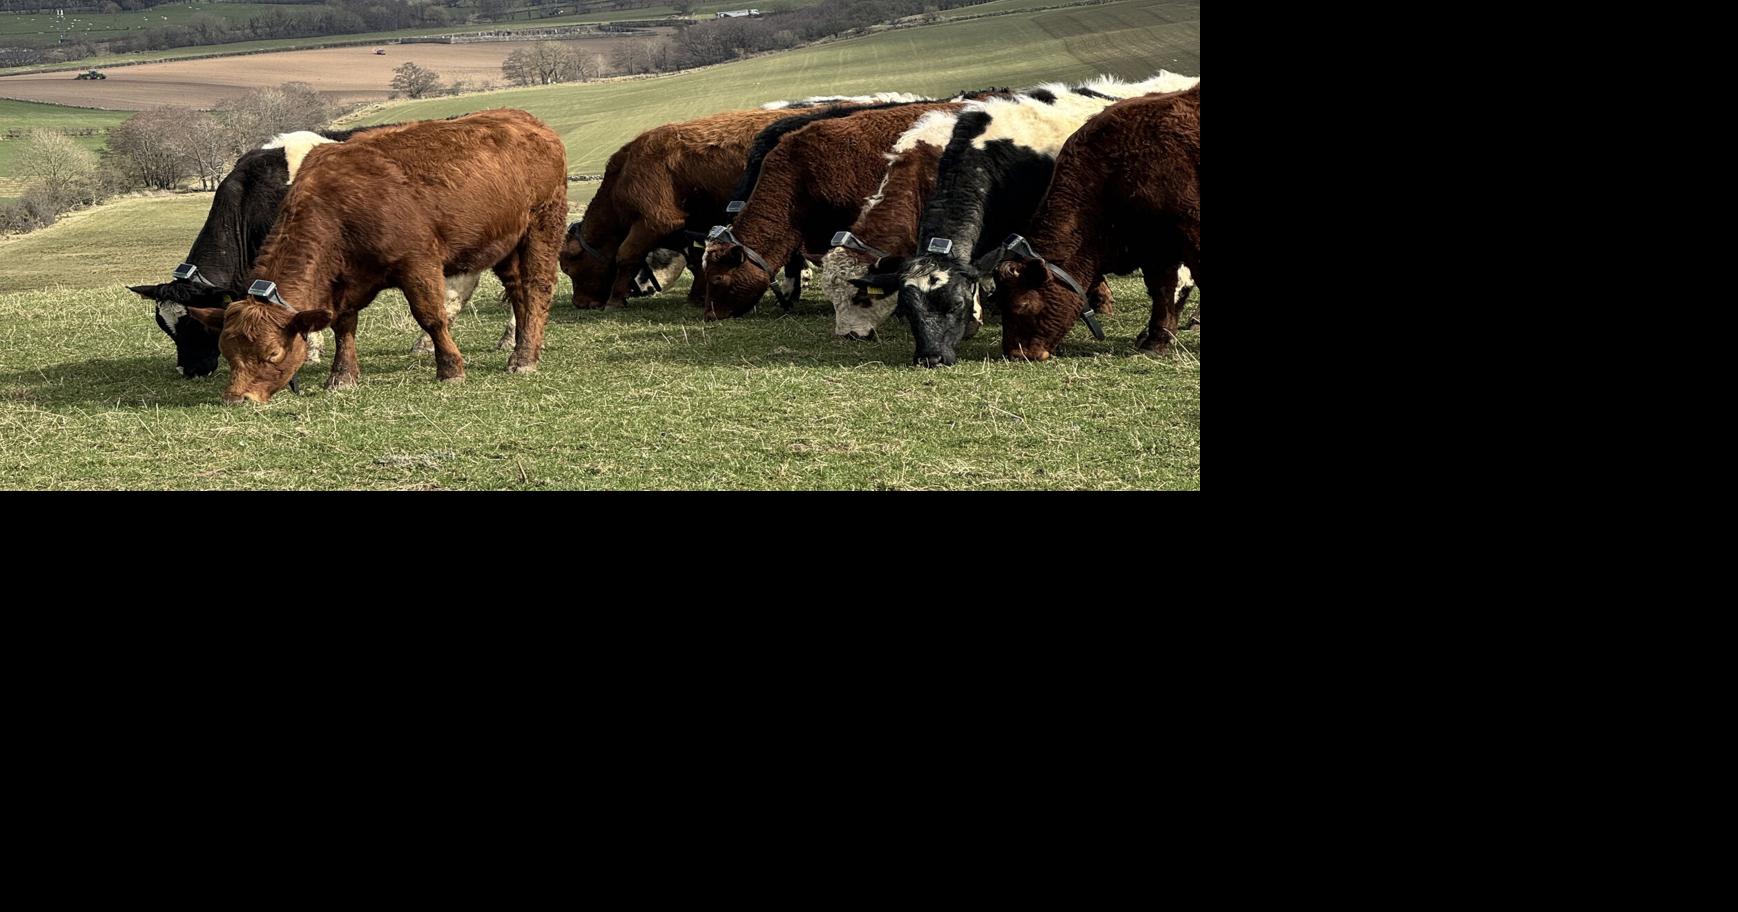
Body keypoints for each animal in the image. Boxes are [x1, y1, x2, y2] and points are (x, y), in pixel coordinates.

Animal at [186, 109, 568, 403]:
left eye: (273, 354)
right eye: (229, 351)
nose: (237, 398)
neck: (339, 206)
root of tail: (526, 120)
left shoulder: (419, 264)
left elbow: (431, 316)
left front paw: (450, 368)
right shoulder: (343, 281)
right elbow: (343, 325)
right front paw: (342, 377)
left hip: (542, 225)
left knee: (536, 287)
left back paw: (524, 357)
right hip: (504, 244)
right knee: (517, 292)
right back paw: (519, 345)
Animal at [560, 96, 922, 311]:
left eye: (570, 265)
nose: (580, 303)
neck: (625, 171)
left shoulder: (655, 220)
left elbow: (625, 256)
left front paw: (614, 301)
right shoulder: (694, 225)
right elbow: (697, 260)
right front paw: (697, 296)